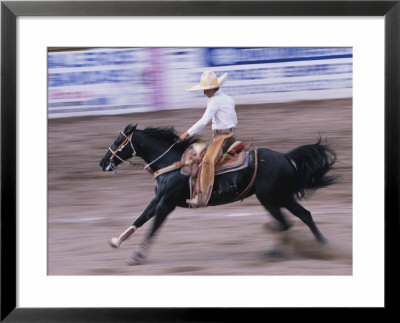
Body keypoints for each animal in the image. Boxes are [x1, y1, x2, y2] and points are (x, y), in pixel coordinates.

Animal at [100, 124, 338, 266]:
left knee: (286, 223)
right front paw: (116, 241)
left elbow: (153, 228)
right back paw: (322, 245)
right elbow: (140, 219)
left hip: (270, 199)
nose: (102, 163)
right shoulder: (158, 200)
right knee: (303, 216)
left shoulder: (166, 204)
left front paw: (137, 256)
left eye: (118, 142)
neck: (173, 162)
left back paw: (277, 253)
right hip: (282, 197)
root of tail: (286, 158)